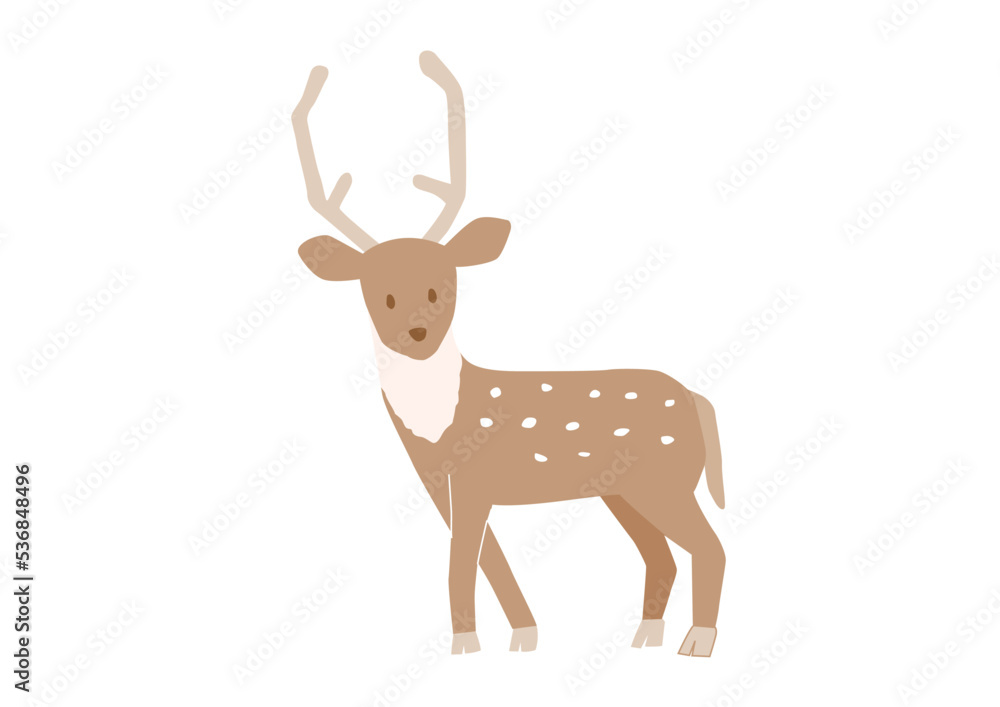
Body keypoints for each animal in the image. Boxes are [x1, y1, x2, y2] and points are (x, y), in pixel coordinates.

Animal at [292, 52, 726, 657]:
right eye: (380, 293)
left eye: (441, 286)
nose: (417, 334)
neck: (439, 423)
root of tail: (697, 399)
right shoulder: (440, 483)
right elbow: (487, 557)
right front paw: (523, 635)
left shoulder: (474, 477)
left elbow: (461, 561)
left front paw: (464, 647)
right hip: (623, 490)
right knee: (660, 553)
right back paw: (644, 638)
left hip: (665, 478)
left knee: (710, 545)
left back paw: (697, 642)